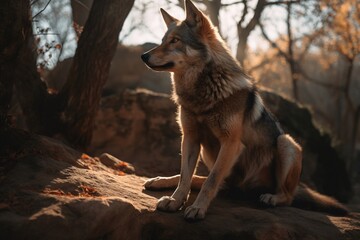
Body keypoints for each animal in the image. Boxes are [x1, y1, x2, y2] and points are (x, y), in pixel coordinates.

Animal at [141, 0, 348, 221]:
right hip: (210, 154)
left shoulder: (231, 143)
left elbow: (210, 181)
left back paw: (271, 198)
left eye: (175, 41)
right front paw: (175, 201)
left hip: (286, 143)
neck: (203, 91)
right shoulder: (190, 137)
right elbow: (185, 177)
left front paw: (197, 208)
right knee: (206, 180)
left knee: (286, 196)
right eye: (163, 41)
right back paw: (158, 180)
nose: (143, 55)